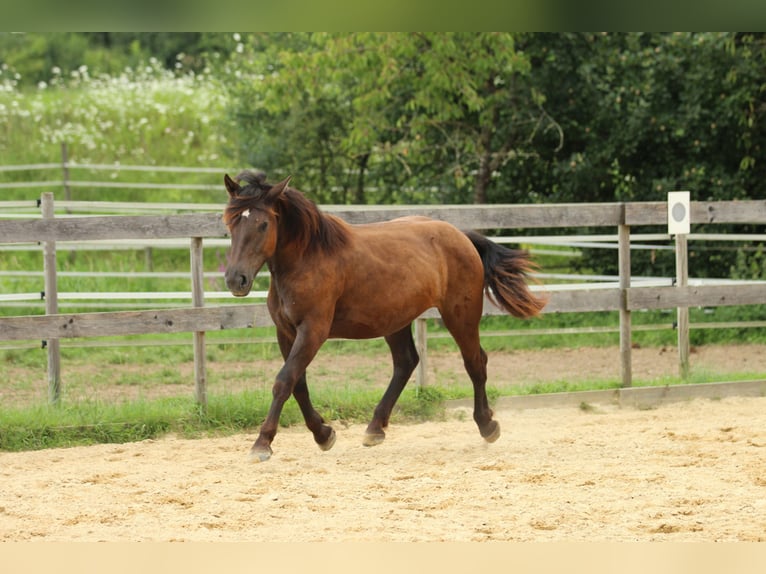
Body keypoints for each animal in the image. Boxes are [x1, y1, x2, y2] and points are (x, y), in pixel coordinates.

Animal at [222, 171, 544, 464]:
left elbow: (284, 381)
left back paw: (487, 425)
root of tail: (460, 235)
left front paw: (262, 444)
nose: (236, 279)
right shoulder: (286, 332)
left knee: (475, 362)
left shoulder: (313, 330)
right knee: (406, 362)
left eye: (263, 224)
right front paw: (323, 434)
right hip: (395, 320)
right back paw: (375, 429)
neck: (307, 259)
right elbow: (297, 384)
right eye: (230, 223)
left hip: (460, 314)